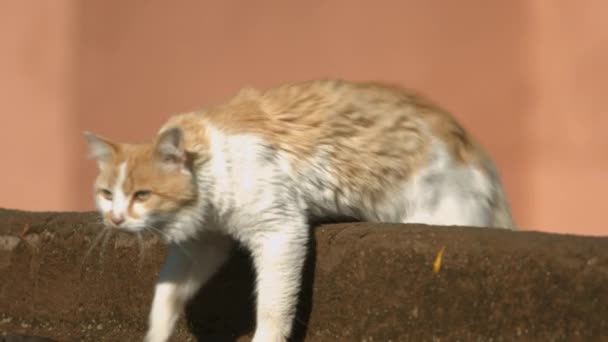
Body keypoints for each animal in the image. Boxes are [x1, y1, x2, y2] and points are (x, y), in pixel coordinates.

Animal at [83, 78, 516, 342]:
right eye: (106, 193)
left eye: (141, 195)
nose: (114, 219)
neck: (211, 161)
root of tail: (468, 144)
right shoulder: (205, 243)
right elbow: (166, 296)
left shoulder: (280, 230)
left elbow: (273, 306)